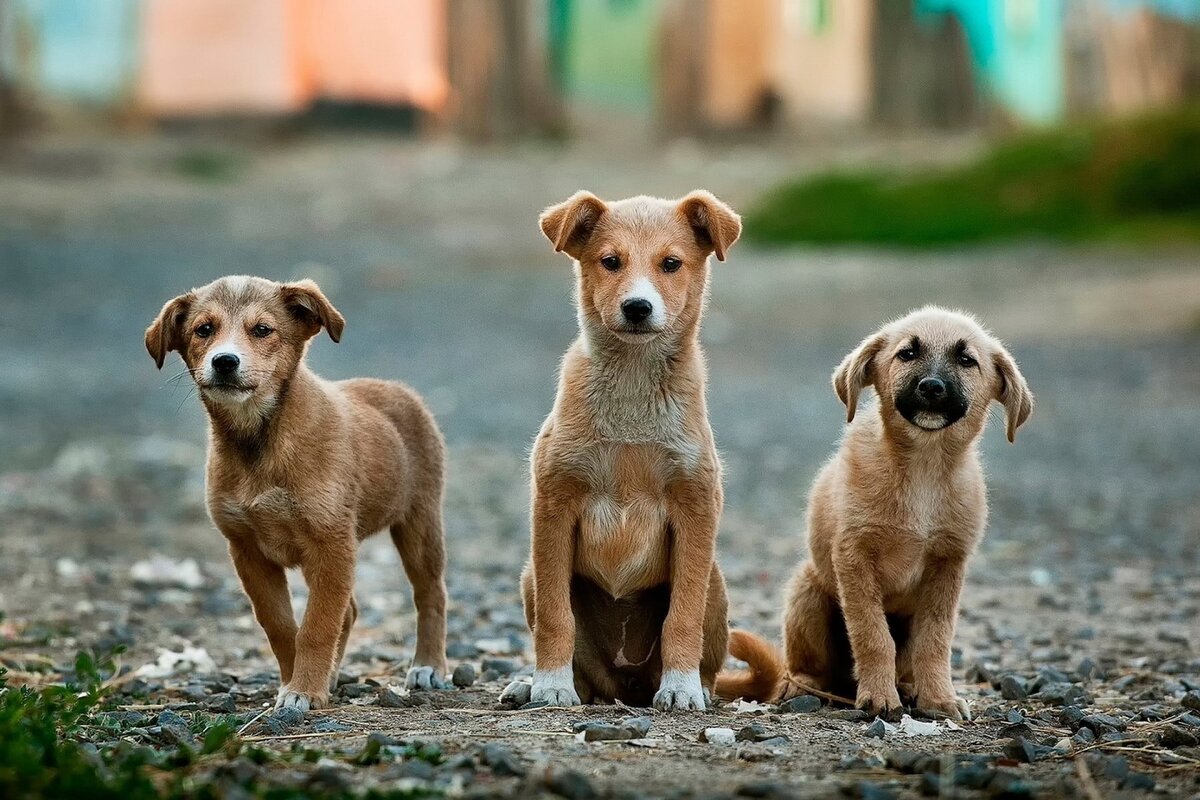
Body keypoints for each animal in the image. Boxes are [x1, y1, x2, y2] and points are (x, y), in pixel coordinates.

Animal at [144, 277, 451, 714]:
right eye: (204, 330)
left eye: (262, 330)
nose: (225, 362)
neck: (259, 441)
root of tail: (396, 388)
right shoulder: (247, 550)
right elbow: (281, 626)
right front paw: (297, 683)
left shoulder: (331, 543)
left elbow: (317, 626)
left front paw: (304, 689)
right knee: (350, 611)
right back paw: (334, 675)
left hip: (419, 523)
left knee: (430, 594)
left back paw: (428, 666)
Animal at [499, 190, 739, 710]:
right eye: (610, 262)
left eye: (671, 264)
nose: (637, 307)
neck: (632, 386)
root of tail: (625, 685)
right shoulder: (554, 504)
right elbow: (555, 617)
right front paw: (549, 684)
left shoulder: (696, 507)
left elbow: (682, 616)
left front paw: (681, 687)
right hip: (530, 575)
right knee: (581, 666)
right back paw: (532, 683)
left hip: (715, 581)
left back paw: (694, 687)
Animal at [715, 304, 1036, 719]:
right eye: (907, 353)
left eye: (967, 360)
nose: (931, 387)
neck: (923, 468)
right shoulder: (854, 557)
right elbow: (872, 635)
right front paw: (880, 697)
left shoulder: (948, 565)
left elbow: (935, 641)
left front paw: (939, 698)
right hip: (807, 591)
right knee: (805, 666)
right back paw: (803, 687)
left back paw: (909, 688)